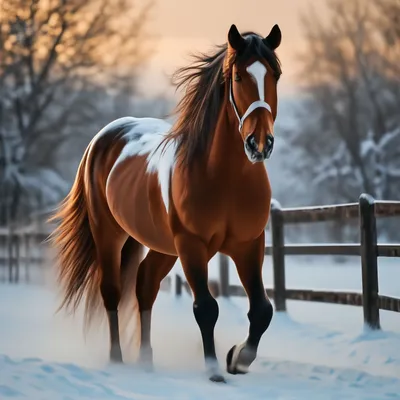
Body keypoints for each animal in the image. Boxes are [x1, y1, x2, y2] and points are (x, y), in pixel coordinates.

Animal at [48, 22, 282, 384]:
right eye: (239, 76)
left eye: (276, 74)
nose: (259, 144)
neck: (225, 178)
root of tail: (104, 137)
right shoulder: (192, 245)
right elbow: (206, 307)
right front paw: (214, 369)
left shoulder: (248, 244)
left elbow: (262, 309)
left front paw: (237, 359)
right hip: (110, 235)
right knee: (112, 290)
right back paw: (117, 360)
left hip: (163, 247)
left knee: (145, 285)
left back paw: (146, 359)